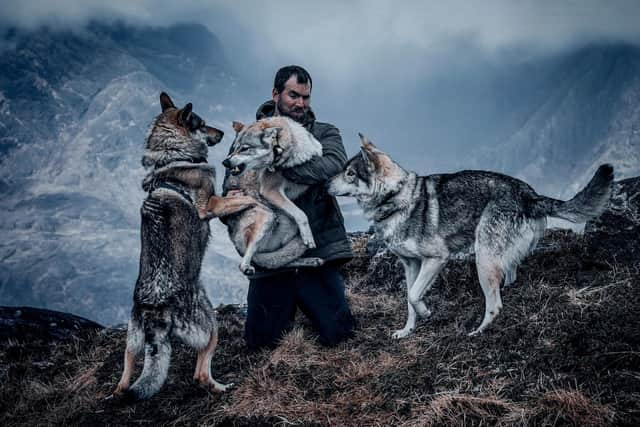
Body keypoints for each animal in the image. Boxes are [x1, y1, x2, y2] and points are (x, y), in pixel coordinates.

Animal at [113, 93, 232, 402]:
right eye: (202, 124)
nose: (222, 132)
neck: (173, 155)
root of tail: (155, 310)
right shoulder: (210, 205)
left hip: (132, 339)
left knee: (125, 377)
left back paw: (118, 393)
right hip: (211, 325)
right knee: (200, 373)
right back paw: (220, 387)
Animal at [330, 135, 616, 340]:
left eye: (350, 173)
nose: (325, 184)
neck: (397, 196)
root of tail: (530, 194)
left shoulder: (436, 259)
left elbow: (413, 296)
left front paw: (426, 312)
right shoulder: (410, 265)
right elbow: (409, 299)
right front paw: (407, 330)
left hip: (483, 258)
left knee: (495, 304)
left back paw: (479, 332)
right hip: (494, 256)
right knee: (509, 275)